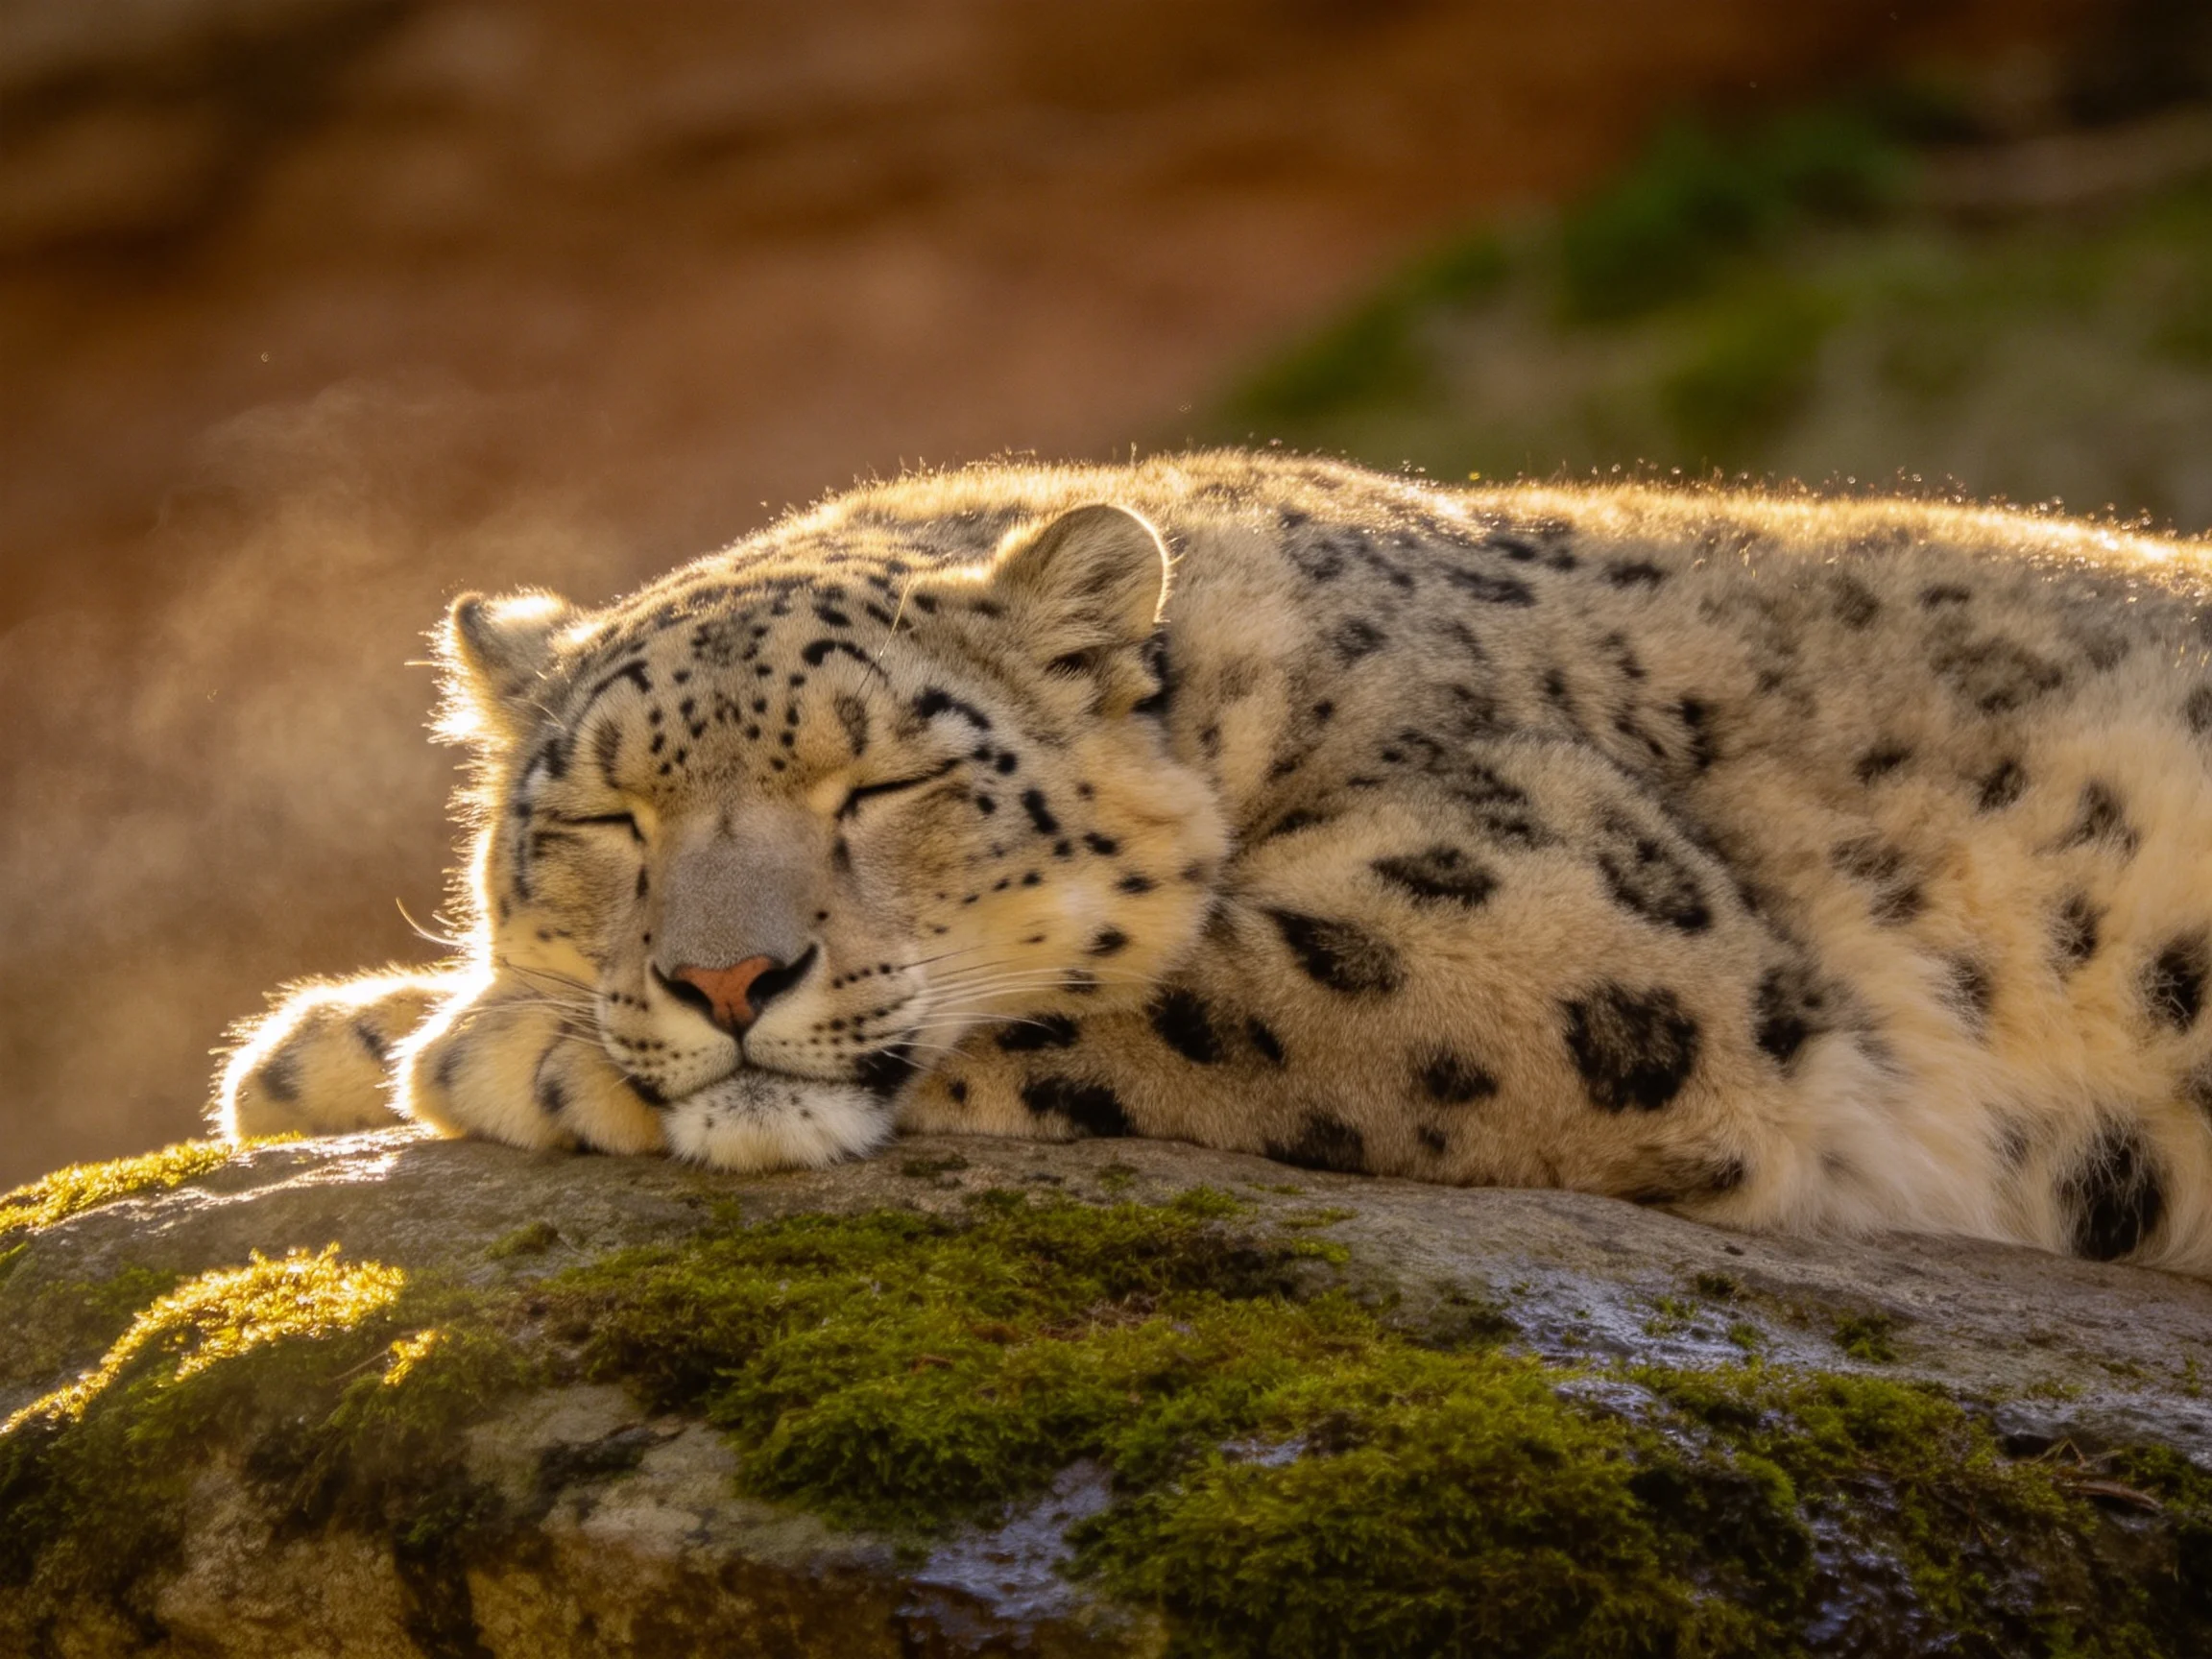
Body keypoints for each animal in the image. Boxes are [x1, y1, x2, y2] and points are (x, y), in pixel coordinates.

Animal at [215, 450, 2212, 1275]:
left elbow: (1162, 996)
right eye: (603, 821)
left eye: (882, 780)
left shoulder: (1549, 924)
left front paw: (503, 1051)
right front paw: (328, 1044)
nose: (721, 978)